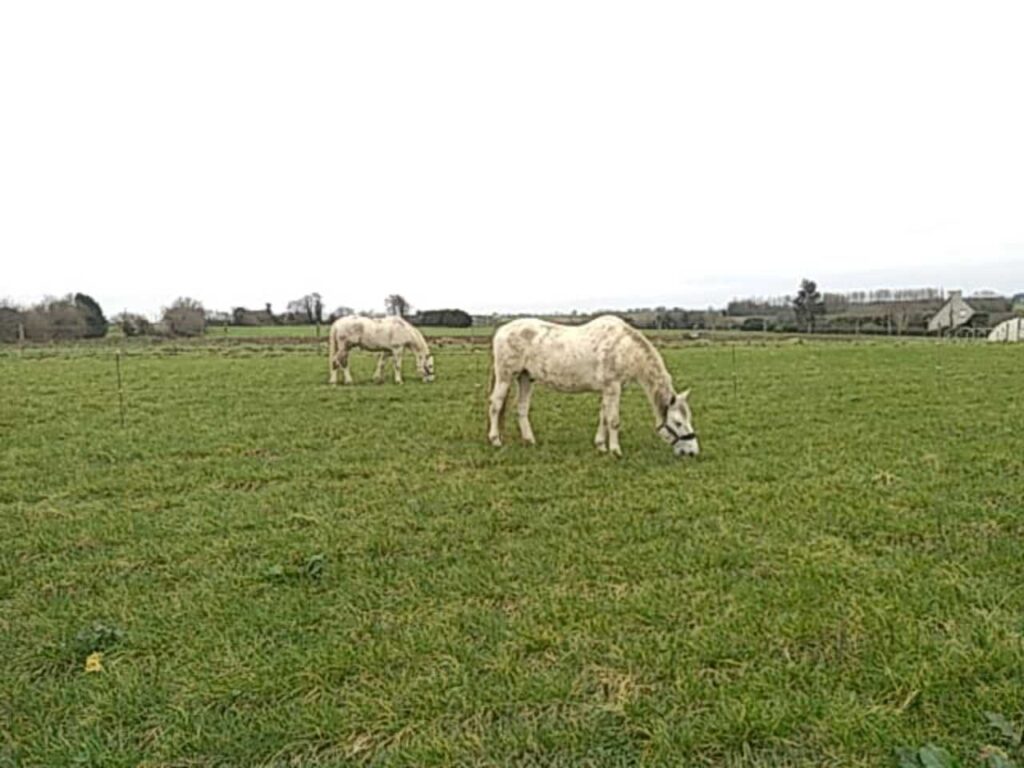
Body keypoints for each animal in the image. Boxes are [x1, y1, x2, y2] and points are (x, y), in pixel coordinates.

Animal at [485, 317, 696, 460]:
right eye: (678, 423)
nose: (692, 451)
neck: (624, 348)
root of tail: (502, 330)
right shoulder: (613, 388)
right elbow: (613, 420)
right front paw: (615, 451)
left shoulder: (607, 390)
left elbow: (603, 417)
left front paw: (601, 446)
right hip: (505, 376)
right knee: (495, 406)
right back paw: (495, 440)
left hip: (525, 378)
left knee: (521, 408)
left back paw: (529, 441)